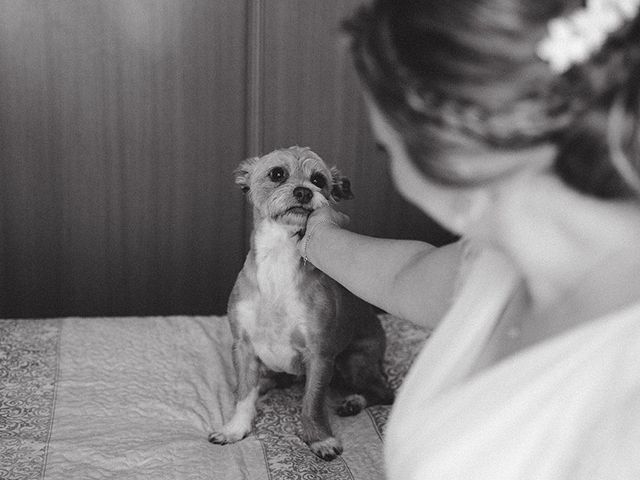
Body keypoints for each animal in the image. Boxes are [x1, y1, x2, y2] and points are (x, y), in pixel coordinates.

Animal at [208, 147, 392, 462]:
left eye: (319, 180)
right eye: (277, 174)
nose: (304, 191)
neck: (278, 259)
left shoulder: (319, 355)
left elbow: (312, 402)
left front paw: (319, 439)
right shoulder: (243, 346)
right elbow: (243, 395)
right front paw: (235, 428)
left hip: (355, 361)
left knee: (385, 391)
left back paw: (354, 400)